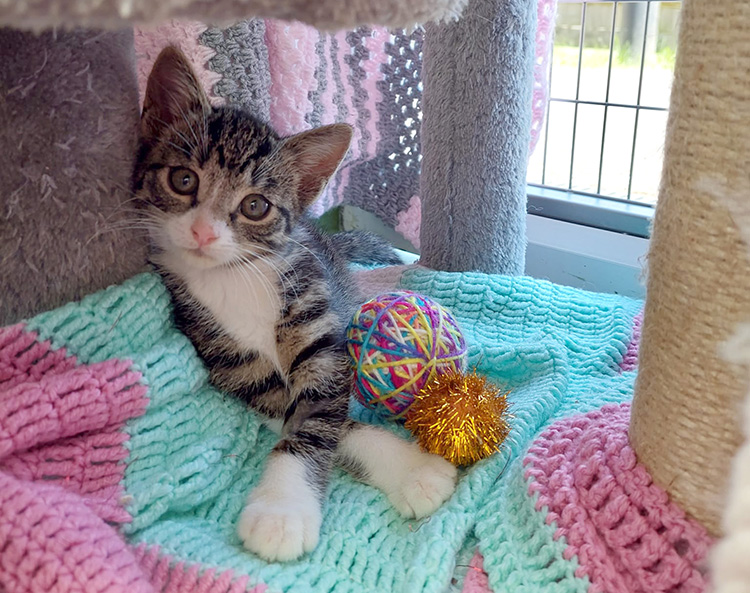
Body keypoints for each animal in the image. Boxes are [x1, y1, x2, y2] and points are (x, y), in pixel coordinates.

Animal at [132, 46, 456, 560]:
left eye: (255, 206)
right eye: (183, 180)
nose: (204, 232)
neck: (233, 277)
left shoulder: (313, 316)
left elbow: (319, 416)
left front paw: (408, 469)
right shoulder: (229, 360)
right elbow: (309, 418)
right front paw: (282, 511)